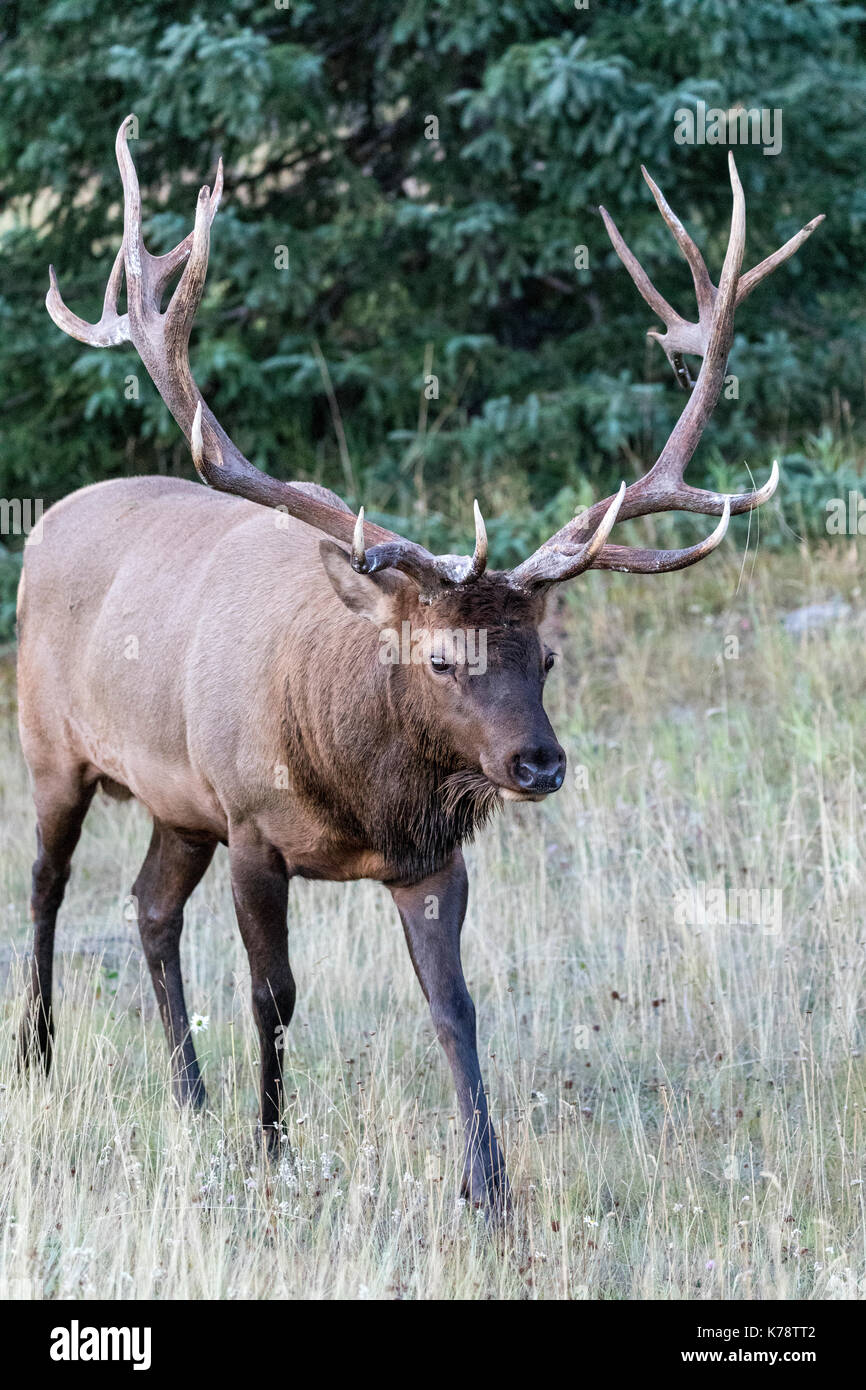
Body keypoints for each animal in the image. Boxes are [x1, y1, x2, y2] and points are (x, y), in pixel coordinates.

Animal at [16, 119, 822, 1212]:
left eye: (546, 654)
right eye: (440, 658)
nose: (537, 763)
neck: (362, 796)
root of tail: (48, 519)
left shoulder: (430, 857)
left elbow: (455, 1004)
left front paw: (489, 1187)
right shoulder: (252, 822)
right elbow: (273, 994)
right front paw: (274, 1148)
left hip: (177, 803)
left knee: (149, 907)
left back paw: (188, 1093)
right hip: (53, 746)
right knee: (47, 882)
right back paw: (40, 1054)